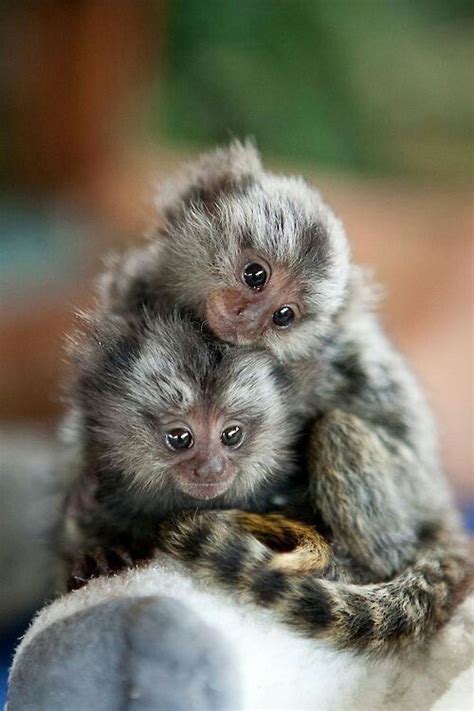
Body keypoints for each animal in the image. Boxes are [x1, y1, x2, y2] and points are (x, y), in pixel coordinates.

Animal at [93, 140, 471, 652]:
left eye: (284, 316)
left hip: (408, 488)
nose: (246, 319)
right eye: (255, 274)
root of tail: (438, 502)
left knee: (337, 435)